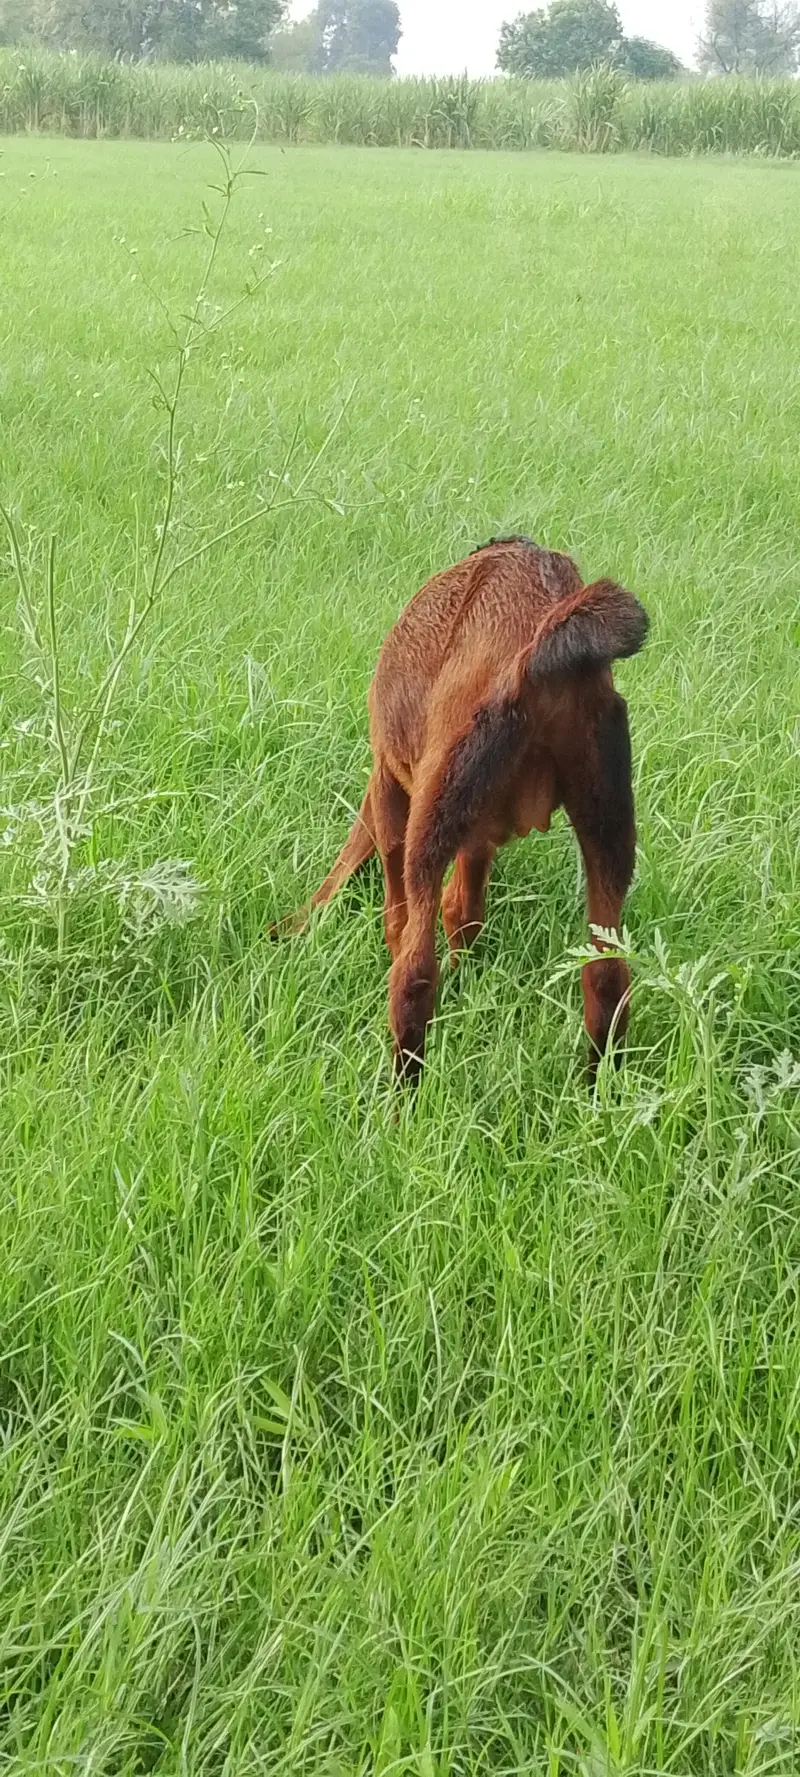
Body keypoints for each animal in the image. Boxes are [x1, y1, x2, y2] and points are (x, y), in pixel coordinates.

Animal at [275, 536, 649, 1084]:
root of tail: (541, 656)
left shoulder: (389, 785)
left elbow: (390, 906)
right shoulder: (479, 834)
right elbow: (464, 912)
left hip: (430, 821)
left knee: (412, 977)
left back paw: (400, 1097)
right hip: (607, 827)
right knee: (606, 976)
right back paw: (597, 1088)